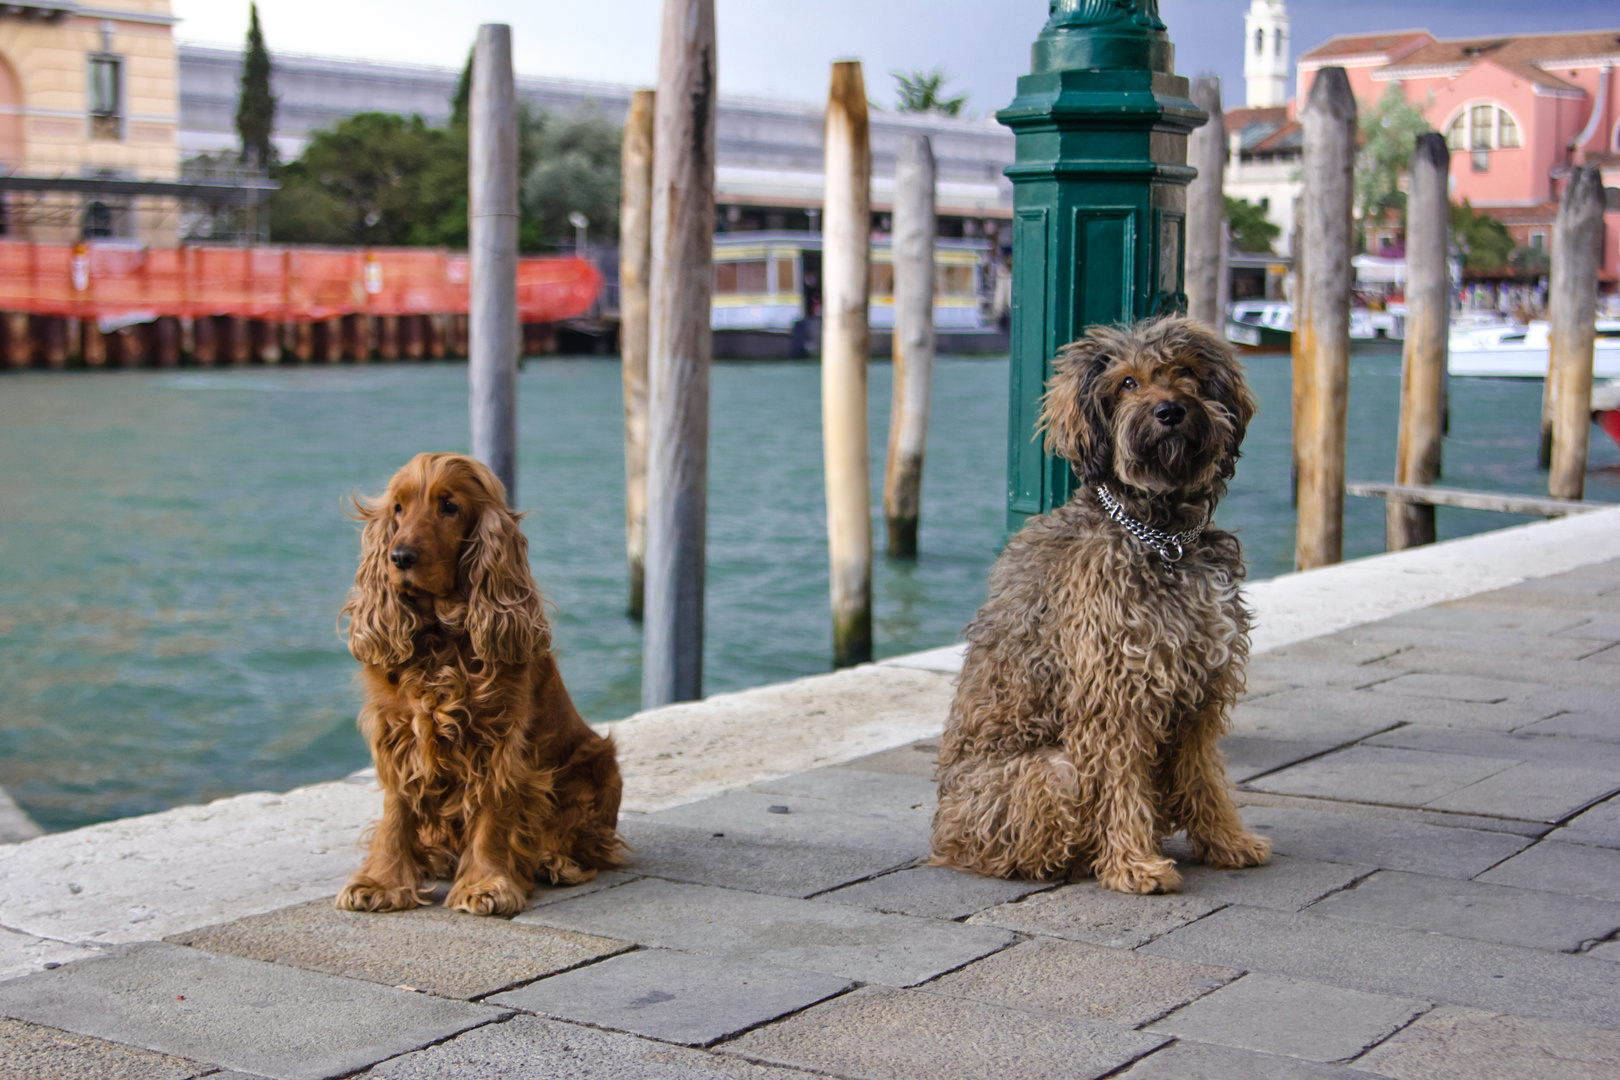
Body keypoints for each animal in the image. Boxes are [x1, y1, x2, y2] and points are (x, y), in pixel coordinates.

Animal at [336, 453, 625, 919]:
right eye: (397, 508)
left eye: (449, 507)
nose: (399, 556)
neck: (441, 639)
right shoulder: (397, 733)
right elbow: (397, 810)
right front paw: (381, 882)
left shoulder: (498, 738)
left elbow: (494, 810)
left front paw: (487, 884)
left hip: (598, 764)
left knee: (589, 841)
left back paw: (553, 860)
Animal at [933, 318, 1270, 893]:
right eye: (1128, 383)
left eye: (1185, 371)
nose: (1170, 411)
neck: (1164, 537)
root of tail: (941, 836)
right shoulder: (1113, 695)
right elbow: (1120, 785)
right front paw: (1134, 864)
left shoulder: (1200, 691)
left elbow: (1203, 775)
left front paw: (1226, 840)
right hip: (1051, 772)